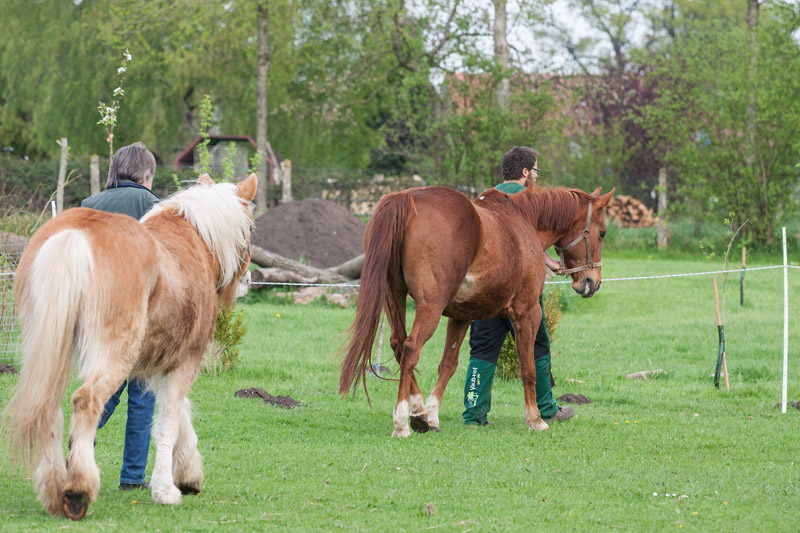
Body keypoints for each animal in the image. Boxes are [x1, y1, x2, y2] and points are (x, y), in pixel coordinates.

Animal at [2, 173, 257, 519]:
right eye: (250, 229)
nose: (248, 281)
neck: (193, 240)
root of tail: (74, 235)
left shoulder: (155, 365)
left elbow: (180, 415)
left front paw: (188, 473)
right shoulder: (184, 361)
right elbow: (167, 424)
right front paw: (166, 490)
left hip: (51, 353)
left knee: (50, 410)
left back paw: (55, 489)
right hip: (112, 356)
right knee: (86, 401)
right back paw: (78, 489)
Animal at [339, 184, 613, 437]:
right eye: (602, 233)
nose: (593, 282)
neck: (524, 221)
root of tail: (407, 197)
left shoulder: (461, 317)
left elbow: (448, 364)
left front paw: (433, 414)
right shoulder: (528, 313)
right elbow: (530, 367)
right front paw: (536, 419)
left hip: (394, 297)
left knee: (398, 344)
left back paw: (419, 411)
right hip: (430, 306)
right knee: (410, 348)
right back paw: (404, 421)